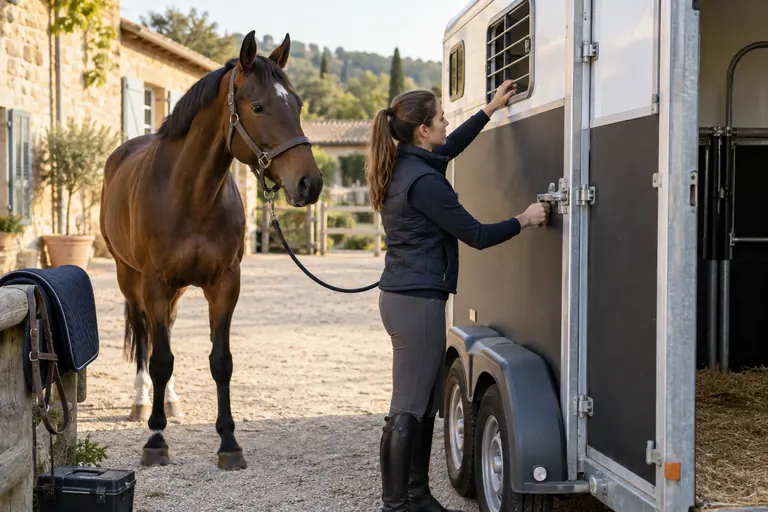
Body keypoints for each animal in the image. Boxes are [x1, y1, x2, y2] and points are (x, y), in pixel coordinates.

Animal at [99, 31, 323, 470]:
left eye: (297, 104)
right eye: (258, 106)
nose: (310, 183)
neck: (192, 194)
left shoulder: (223, 284)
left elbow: (221, 362)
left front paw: (229, 443)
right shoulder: (154, 282)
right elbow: (160, 359)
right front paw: (155, 439)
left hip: (177, 289)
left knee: (164, 329)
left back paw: (170, 401)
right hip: (129, 278)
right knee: (145, 334)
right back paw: (141, 402)